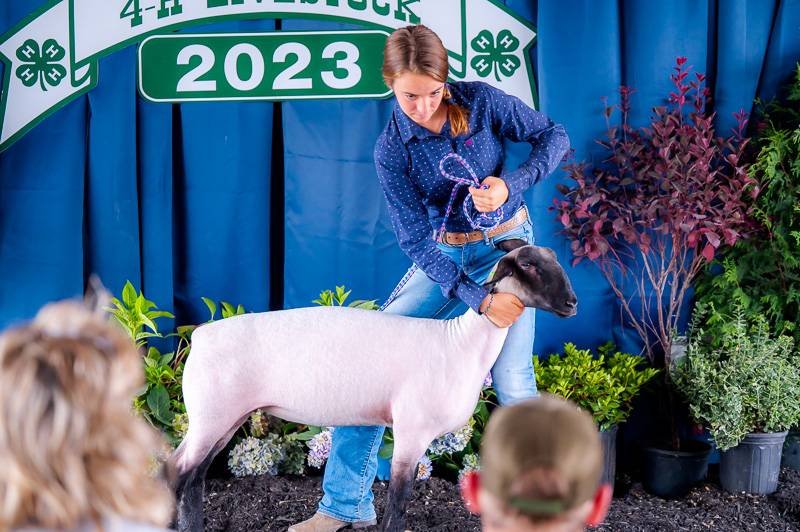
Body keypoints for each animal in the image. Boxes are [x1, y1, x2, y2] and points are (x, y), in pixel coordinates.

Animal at [172, 239, 580, 528]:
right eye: (527, 264)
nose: (572, 303)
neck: (460, 343)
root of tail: (202, 336)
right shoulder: (412, 431)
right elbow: (398, 501)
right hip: (212, 416)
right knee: (178, 474)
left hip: (224, 418)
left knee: (193, 478)